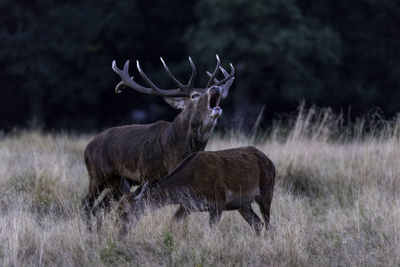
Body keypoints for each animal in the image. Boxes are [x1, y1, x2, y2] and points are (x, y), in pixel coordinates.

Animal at [83, 56, 234, 220]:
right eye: (194, 95)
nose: (215, 88)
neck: (178, 150)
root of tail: (87, 148)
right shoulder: (151, 174)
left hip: (118, 182)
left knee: (100, 208)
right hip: (97, 174)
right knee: (86, 204)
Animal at [118, 146, 276, 236]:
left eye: (126, 212)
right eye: (117, 211)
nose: (120, 233)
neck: (190, 184)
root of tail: (269, 160)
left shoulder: (218, 201)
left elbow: (210, 232)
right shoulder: (187, 206)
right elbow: (172, 223)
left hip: (267, 191)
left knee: (268, 223)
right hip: (242, 204)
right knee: (257, 224)